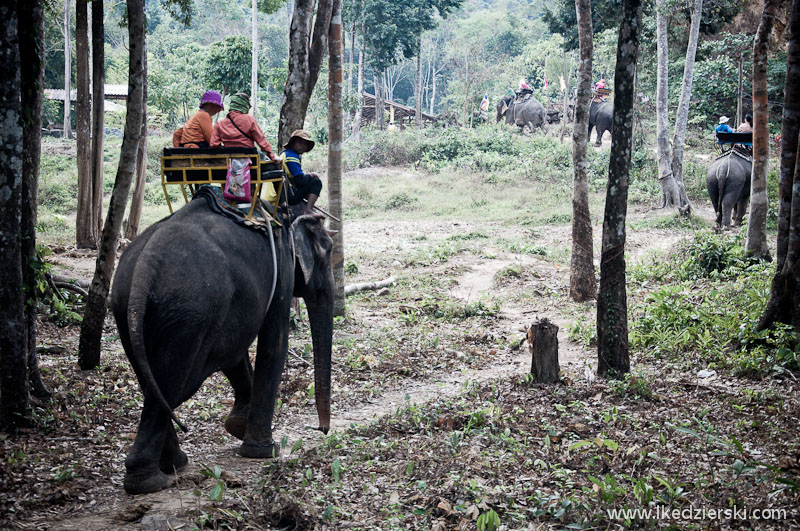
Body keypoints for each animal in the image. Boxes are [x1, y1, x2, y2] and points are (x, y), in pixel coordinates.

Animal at [109, 192, 332, 494]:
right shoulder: (282, 270)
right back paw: (151, 481)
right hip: (189, 312)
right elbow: (273, 345)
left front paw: (237, 426)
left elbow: (235, 353)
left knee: (152, 381)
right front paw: (265, 451)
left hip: (127, 310)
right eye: (328, 250)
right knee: (171, 382)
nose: (322, 430)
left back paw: (170, 467)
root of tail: (145, 265)